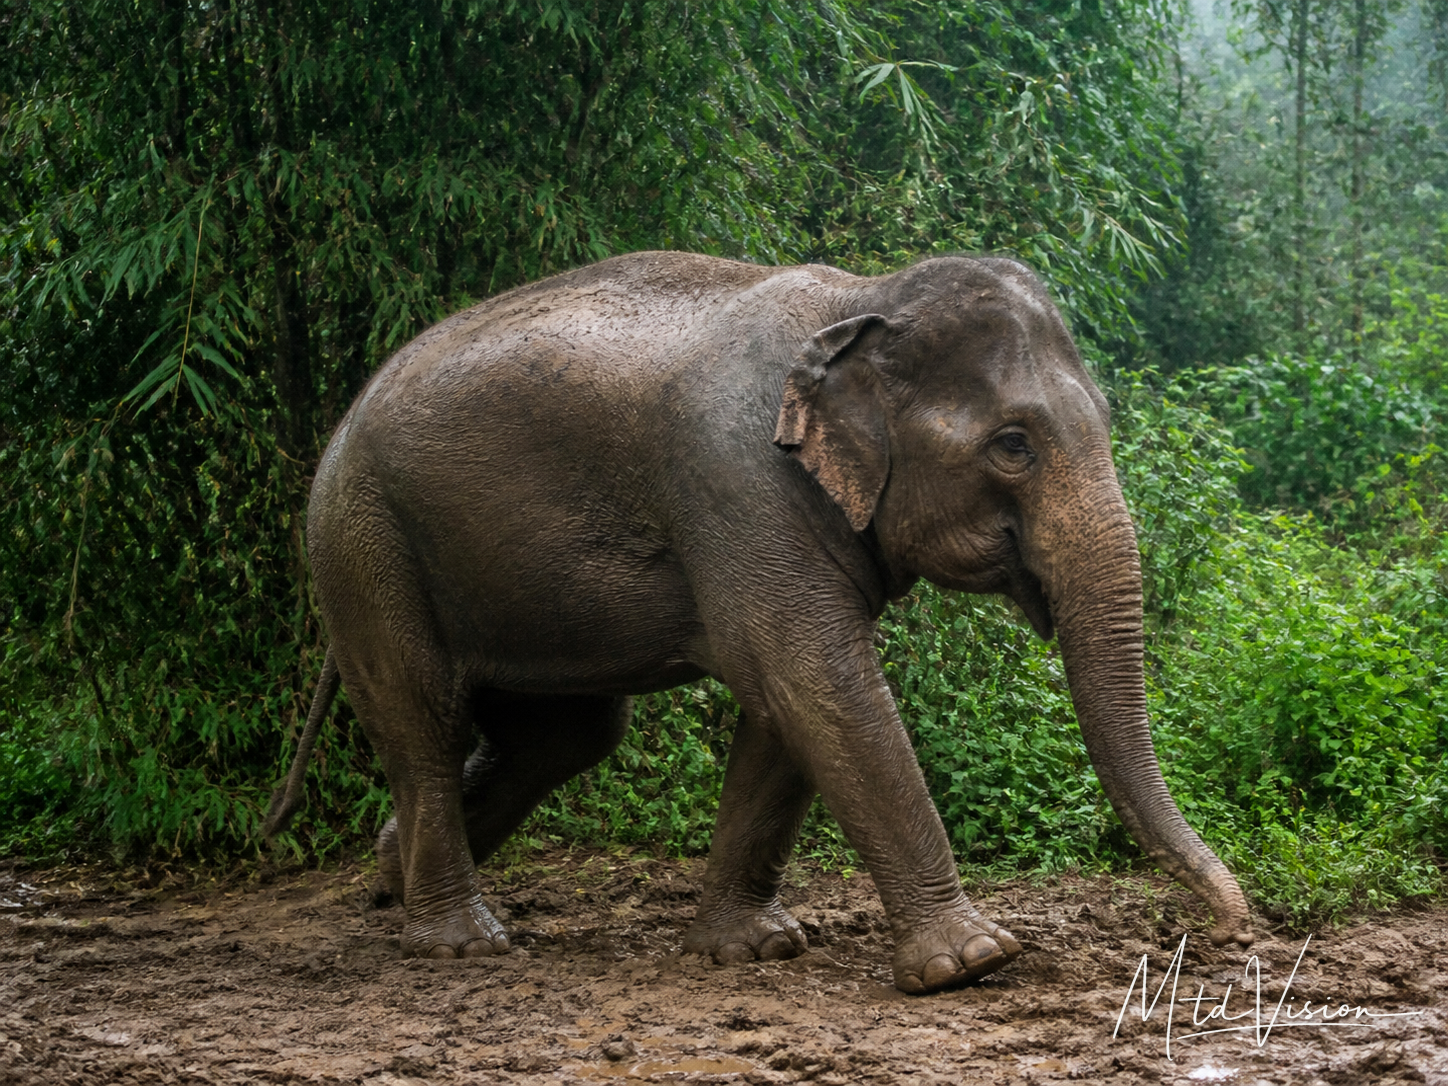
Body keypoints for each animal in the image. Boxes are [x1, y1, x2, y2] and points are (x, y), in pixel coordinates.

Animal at [263, 250, 1253, 994]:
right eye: (1013, 445)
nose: (1234, 930)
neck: (858, 303)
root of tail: (338, 430)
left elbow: (788, 706)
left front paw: (754, 949)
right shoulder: (738, 483)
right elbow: (812, 673)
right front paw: (973, 962)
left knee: (564, 735)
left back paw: (388, 876)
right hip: (365, 543)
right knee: (425, 720)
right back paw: (462, 942)